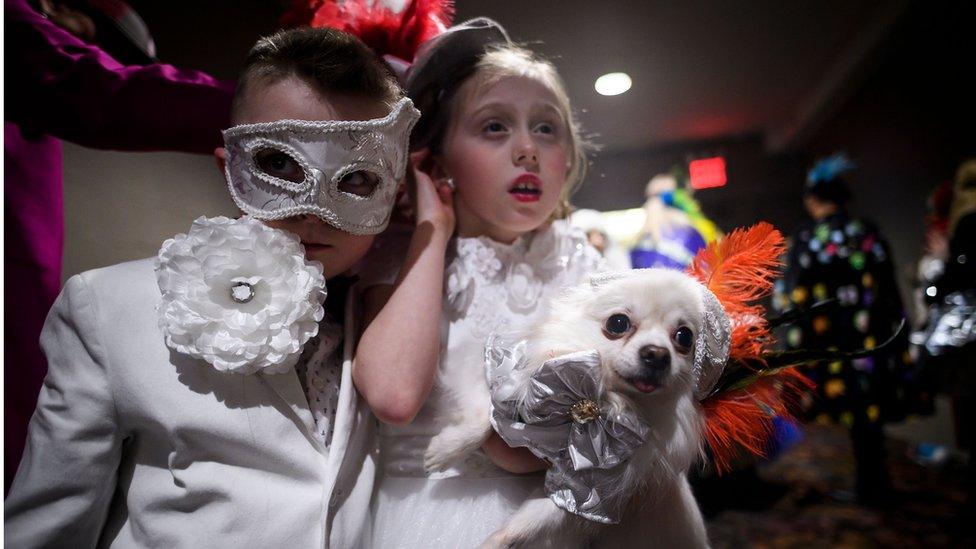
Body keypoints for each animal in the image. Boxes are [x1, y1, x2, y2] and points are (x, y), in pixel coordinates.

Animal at [424, 268, 728, 544]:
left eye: (684, 337)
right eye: (618, 323)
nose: (657, 354)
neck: (602, 399)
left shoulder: (588, 491)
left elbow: (527, 523)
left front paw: (494, 542)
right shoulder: (497, 368)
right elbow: (481, 418)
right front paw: (444, 451)